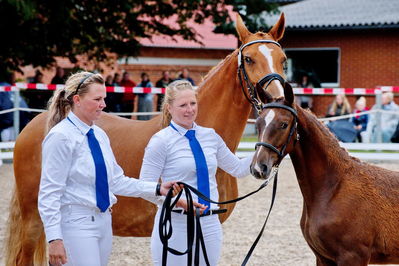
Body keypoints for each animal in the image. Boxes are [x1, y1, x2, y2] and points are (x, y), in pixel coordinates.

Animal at [252, 83, 399, 266]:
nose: (258, 167)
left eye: (284, 124)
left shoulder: (354, 257)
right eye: (258, 123)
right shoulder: (323, 258)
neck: (333, 189)